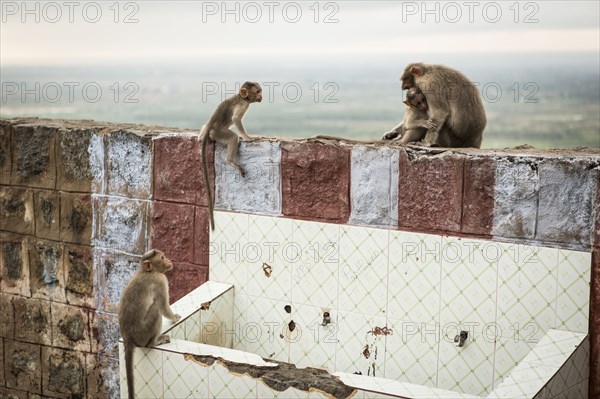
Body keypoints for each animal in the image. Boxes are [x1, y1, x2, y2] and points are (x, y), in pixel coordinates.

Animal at [118, 250, 180, 399]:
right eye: (162, 258)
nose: (169, 260)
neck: (148, 272)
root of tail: (128, 338)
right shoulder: (160, 280)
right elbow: (163, 306)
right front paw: (174, 318)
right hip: (143, 334)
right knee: (156, 308)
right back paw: (154, 342)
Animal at [200, 81, 262, 231]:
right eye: (257, 92)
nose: (261, 96)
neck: (243, 98)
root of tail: (209, 128)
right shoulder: (242, 105)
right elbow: (235, 118)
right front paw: (247, 137)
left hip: (210, 131)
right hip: (218, 133)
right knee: (233, 137)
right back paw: (230, 161)